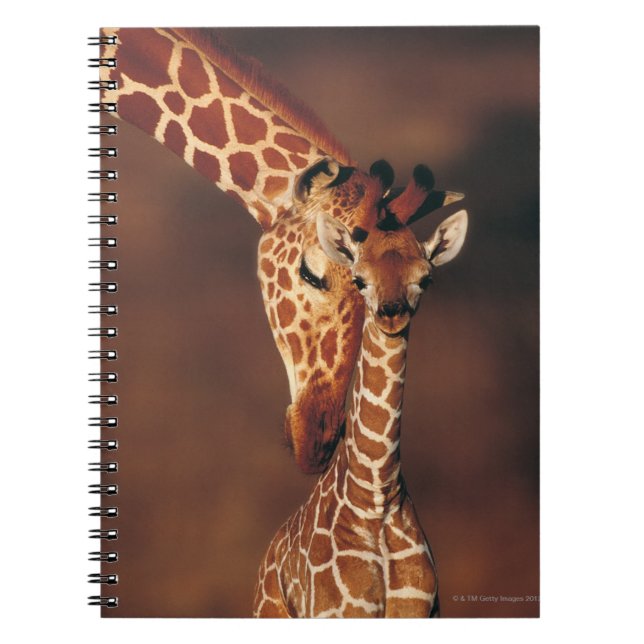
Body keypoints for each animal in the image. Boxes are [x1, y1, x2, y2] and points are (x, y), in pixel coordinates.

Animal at [253, 163, 468, 617]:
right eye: (359, 279)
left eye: (426, 278)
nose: (391, 313)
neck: (376, 496)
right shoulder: (338, 612)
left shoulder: (424, 610)